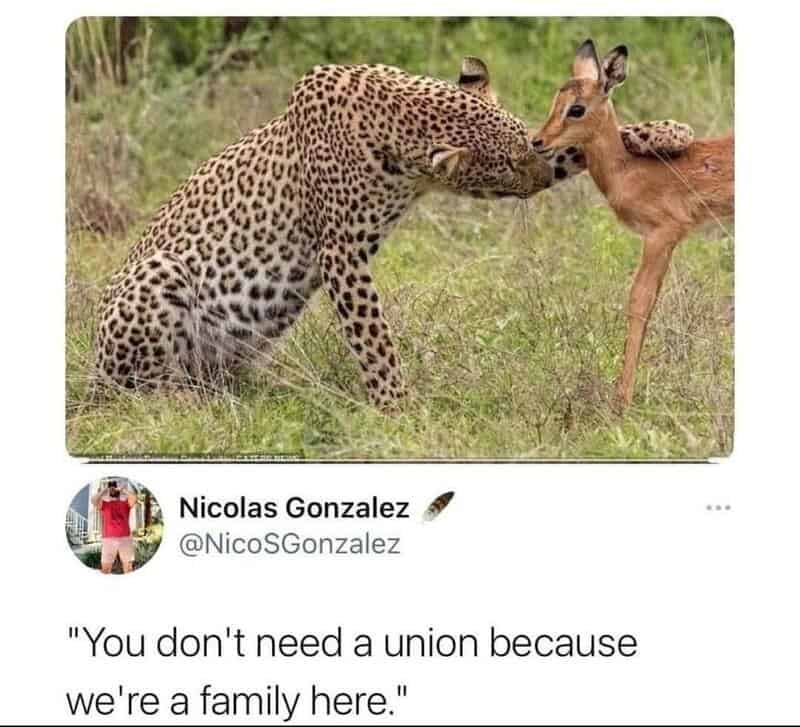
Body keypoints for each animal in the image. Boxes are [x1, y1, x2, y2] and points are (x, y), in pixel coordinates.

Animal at [94, 57, 694, 411]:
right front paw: (399, 408)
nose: (542, 175)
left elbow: (585, 144)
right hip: (158, 276)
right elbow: (374, 339)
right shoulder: (340, 253)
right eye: (504, 168)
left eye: (529, 144)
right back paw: (184, 402)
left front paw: (666, 131)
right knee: (142, 390)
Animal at [532, 39, 734, 408]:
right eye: (556, 100)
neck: (628, 170)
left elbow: (639, 302)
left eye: (577, 109)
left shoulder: (661, 235)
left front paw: (621, 399)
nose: (538, 141)